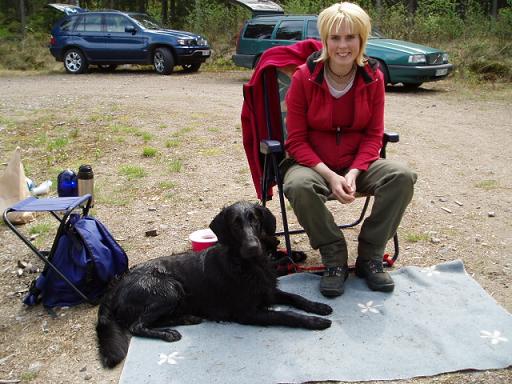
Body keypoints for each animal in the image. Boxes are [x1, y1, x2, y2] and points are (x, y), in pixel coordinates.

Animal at [96, 200, 332, 368]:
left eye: (254, 220)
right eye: (235, 224)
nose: (253, 247)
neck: (249, 264)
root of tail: (118, 283)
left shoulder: (268, 291)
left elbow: (295, 297)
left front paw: (318, 307)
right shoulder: (248, 313)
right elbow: (288, 315)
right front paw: (315, 321)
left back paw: (187, 318)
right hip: (169, 289)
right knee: (136, 326)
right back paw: (168, 333)